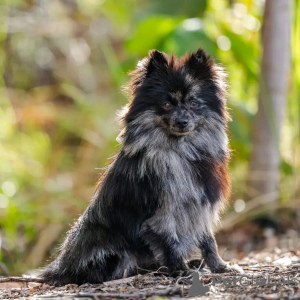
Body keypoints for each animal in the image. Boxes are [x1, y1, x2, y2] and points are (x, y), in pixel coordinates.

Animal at [39, 48, 232, 286]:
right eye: (167, 104)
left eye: (194, 103)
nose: (182, 121)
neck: (181, 151)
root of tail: (60, 269)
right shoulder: (164, 214)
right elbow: (172, 244)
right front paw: (180, 270)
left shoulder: (201, 207)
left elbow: (209, 241)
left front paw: (219, 266)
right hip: (113, 252)